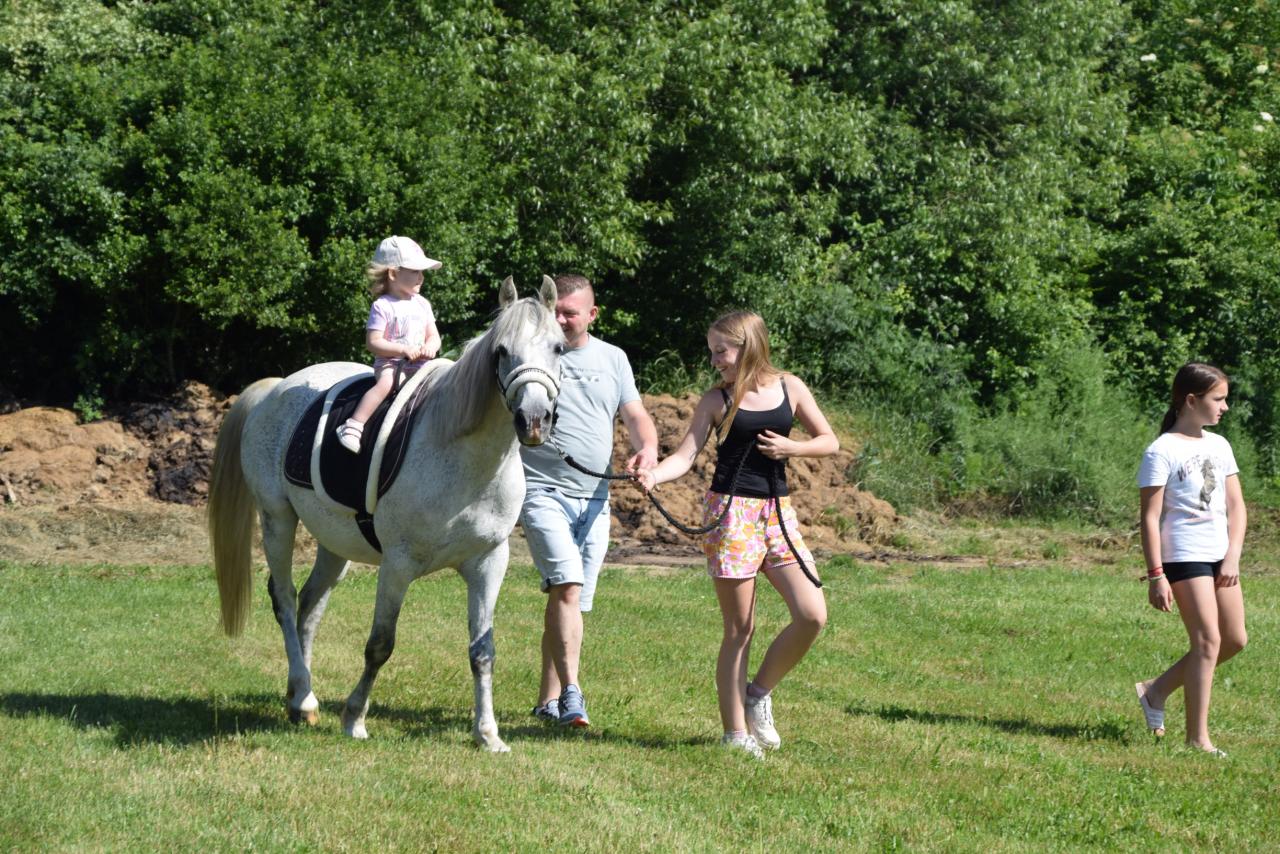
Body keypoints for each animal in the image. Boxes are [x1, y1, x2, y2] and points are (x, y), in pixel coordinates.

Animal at [207, 276, 564, 751]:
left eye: (559, 347)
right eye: (502, 351)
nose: (534, 419)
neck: (464, 458)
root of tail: (277, 387)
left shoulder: (489, 562)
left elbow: (483, 651)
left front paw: (488, 734)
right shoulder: (397, 565)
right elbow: (380, 644)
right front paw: (355, 718)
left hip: (333, 543)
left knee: (310, 605)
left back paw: (299, 695)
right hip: (277, 519)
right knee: (284, 598)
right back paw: (305, 697)